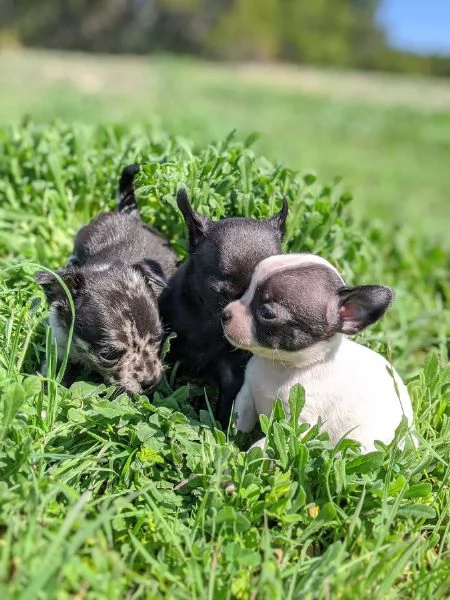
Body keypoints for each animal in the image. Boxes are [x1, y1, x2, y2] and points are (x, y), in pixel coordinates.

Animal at [37, 163, 178, 394]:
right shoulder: (59, 348)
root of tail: (129, 215)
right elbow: (50, 379)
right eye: (108, 355)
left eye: (159, 339)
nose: (150, 382)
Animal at [221, 251, 414, 452]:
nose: (225, 314)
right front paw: (231, 441)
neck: (281, 367)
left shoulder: (296, 424)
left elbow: (266, 442)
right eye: (245, 290)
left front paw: (248, 453)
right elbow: (240, 417)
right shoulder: (247, 392)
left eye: (266, 313)